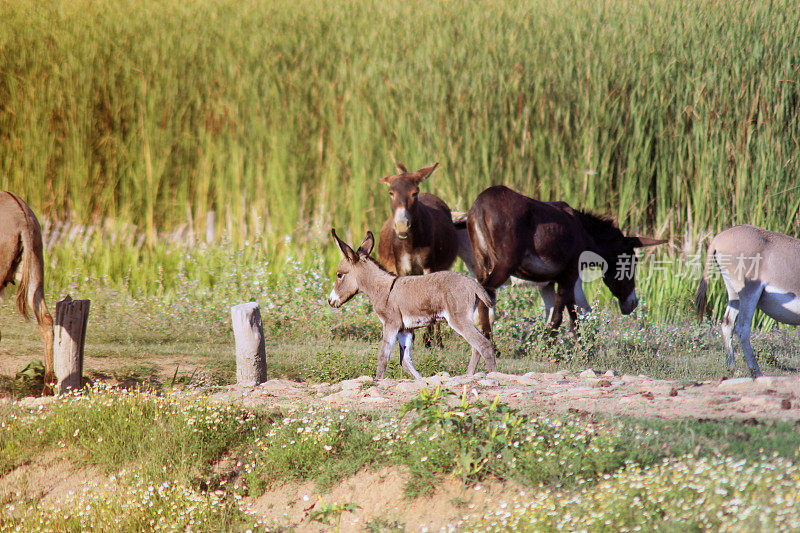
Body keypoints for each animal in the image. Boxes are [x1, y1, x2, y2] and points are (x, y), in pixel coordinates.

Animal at [324, 229, 494, 378]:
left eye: (339, 275)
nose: (330, 301)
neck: (384, 289)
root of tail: (474, 283)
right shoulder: (404, 329)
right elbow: (405, 361)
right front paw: (421, 381)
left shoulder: (391, 324)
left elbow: (383, 357)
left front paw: (378, 381)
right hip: (466, 319)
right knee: (477, 347)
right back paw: (469, 375)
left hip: (458, 319)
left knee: (483, 345)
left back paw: (493, 375)